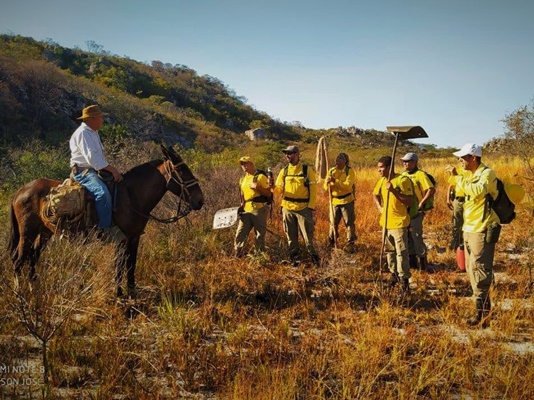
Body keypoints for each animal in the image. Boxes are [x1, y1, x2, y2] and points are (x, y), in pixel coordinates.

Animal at [8, 145, 205, 296]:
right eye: (182, 171)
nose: (200, 200)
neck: (131, 196)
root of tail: (20, 191)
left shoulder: (134, 237)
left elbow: (131, 265)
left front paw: (132, 292)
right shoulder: (121, 238)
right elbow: (119, 266)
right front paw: (118, 294)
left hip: (44, 233)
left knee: (33, 258)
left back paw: (34, 289)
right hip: (27, 233)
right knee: (19, 259)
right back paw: (19, 295)